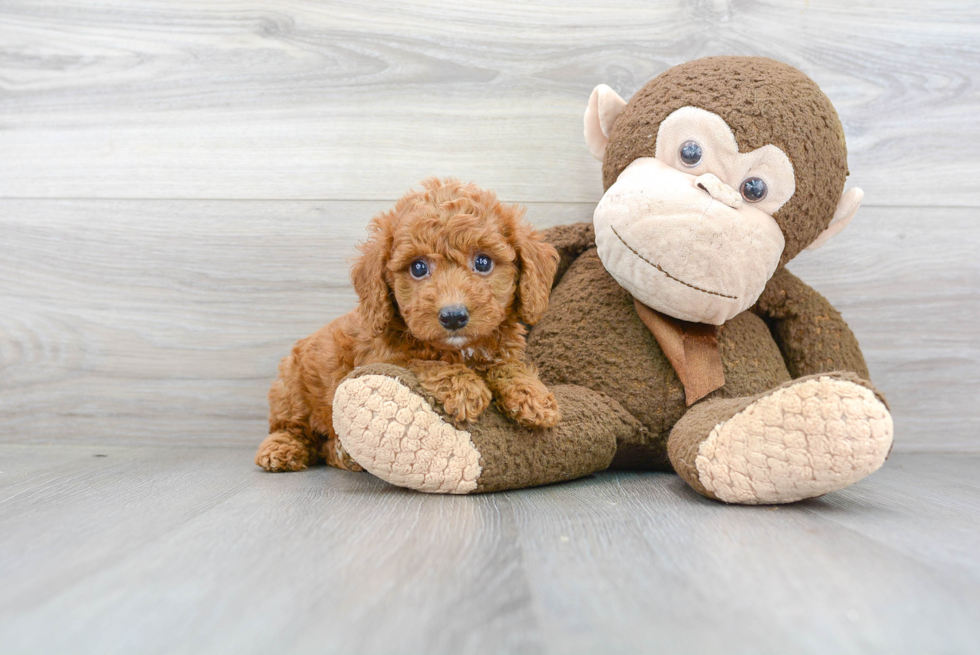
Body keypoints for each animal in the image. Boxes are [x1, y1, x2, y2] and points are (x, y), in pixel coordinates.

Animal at [256, 177, 564, 474]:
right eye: (418, 268)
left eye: (483, 262)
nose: (453, 316)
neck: (461, 351)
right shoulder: (381, 358)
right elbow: (420, 362)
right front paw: (465, 387)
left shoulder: (499, 350)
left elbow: (507, 365)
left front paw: (532, 395)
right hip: (291, 391)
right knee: (291, 429)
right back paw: (281, 450)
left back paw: (344, 455)